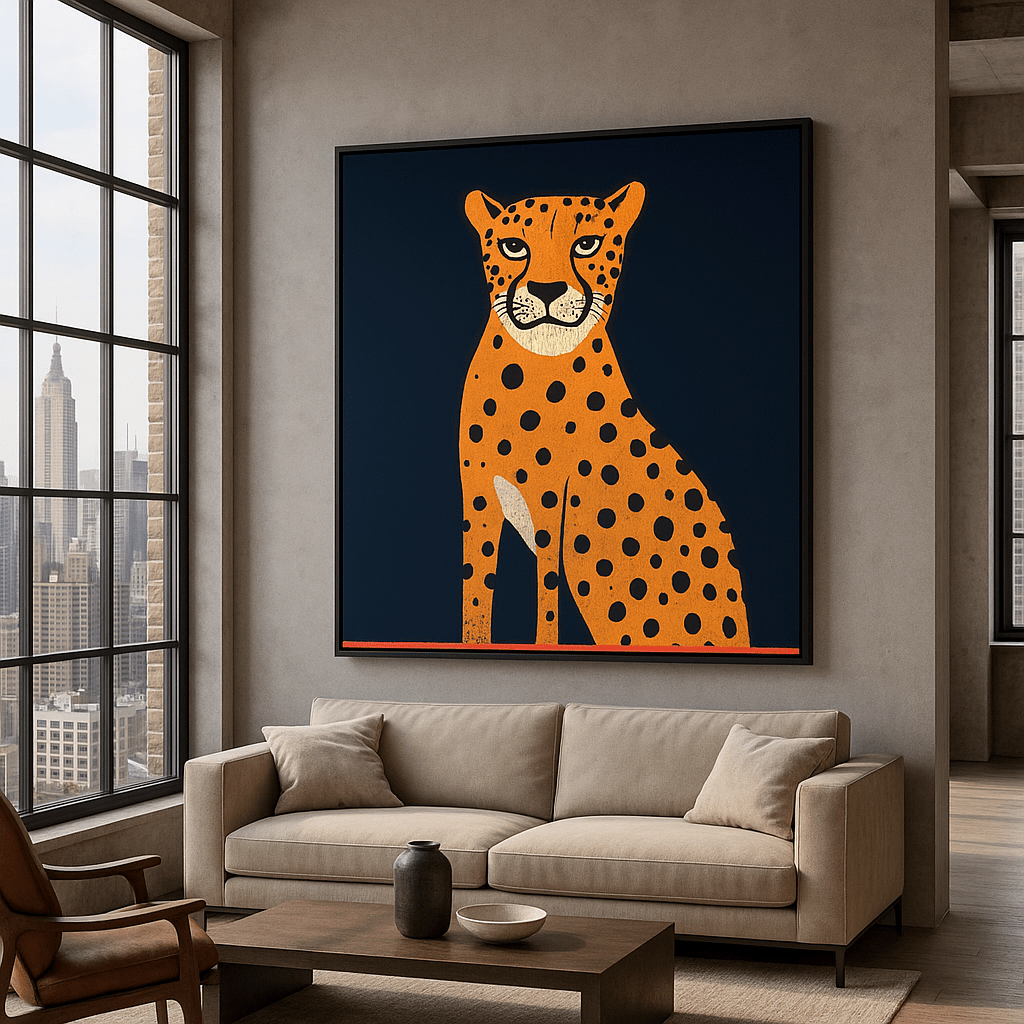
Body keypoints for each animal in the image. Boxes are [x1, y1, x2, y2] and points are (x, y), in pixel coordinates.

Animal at [460, 180, 750, 649]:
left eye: (587, 244)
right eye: (513, 246)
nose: (546, 290)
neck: (534, 361)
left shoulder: (551, 500)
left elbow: (547, 589)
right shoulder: (479, 494)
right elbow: (476, 586)